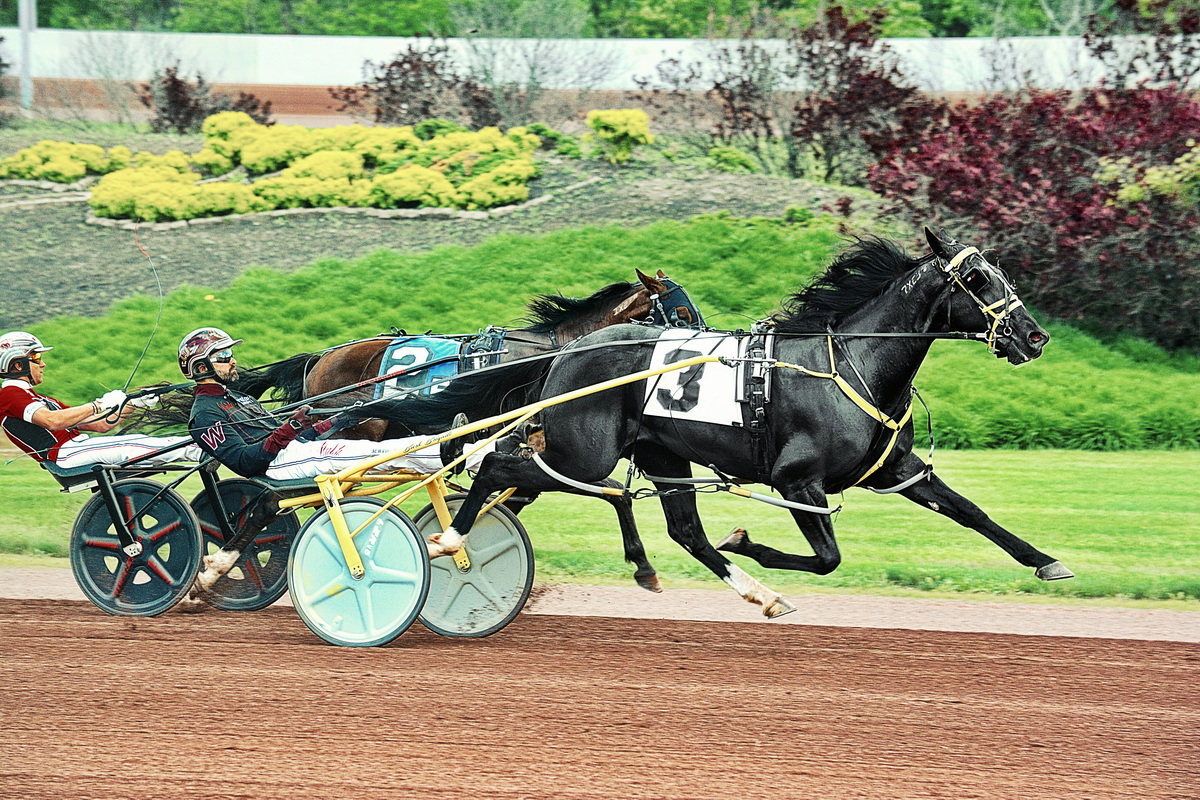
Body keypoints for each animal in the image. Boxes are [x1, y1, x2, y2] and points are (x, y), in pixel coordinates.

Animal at [415, 228, 1071, 617]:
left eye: (1002, 274)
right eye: (978, 278)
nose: (1034, 337)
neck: (854, 362)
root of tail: (569, 350)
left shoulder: (895, 469)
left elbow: (972, 512)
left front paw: (1046, 561)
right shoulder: (796, 480)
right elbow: (827, 557)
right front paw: (749, 541)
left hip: (661, 455)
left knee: (681, 530)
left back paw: (752, 591)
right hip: (584, 450)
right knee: (499, 466)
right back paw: (449, 539)